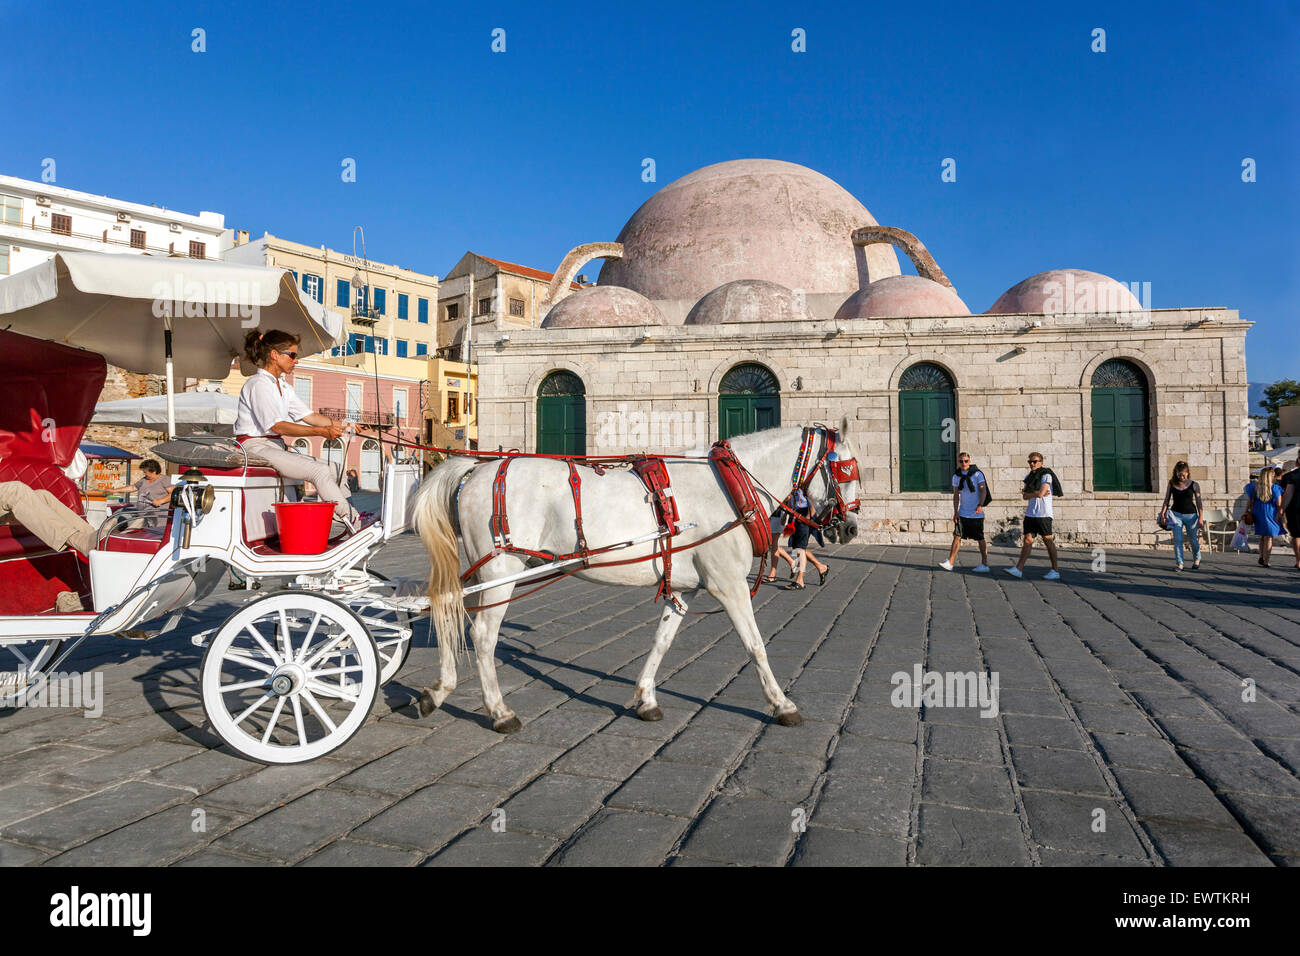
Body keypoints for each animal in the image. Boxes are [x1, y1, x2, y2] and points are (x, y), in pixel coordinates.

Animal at [410, 418, 857, 733]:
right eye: (846, 471)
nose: (850, 529)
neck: (732, 488)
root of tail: (475, 469)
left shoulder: (684, 589)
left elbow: (661, 642)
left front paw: (646, 699)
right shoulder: (729, 585)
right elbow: (756, 646)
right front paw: (783, 705)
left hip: (478, 572)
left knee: (447, 610)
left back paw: (438, 692)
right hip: (501, 572)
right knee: (483, 635)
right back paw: (500, 713)